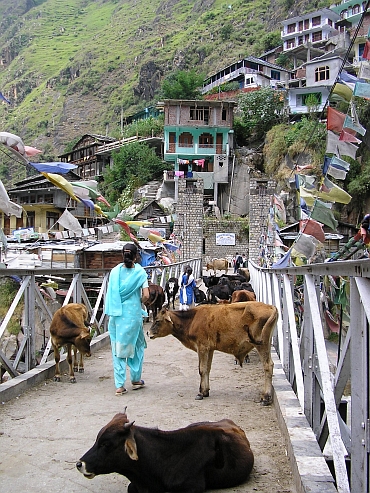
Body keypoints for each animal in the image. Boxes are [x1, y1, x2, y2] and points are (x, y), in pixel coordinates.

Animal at [149, 300, 278, 404]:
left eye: (157, 321)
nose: (148, 333)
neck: (191, 320)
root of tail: (270, 307)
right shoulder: (209, 349)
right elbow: (207, 369)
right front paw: (205, 391)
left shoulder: (202, 347)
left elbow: (201, 369)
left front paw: (201, 393)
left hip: (261, 345)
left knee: (268, 366)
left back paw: (266, 397)